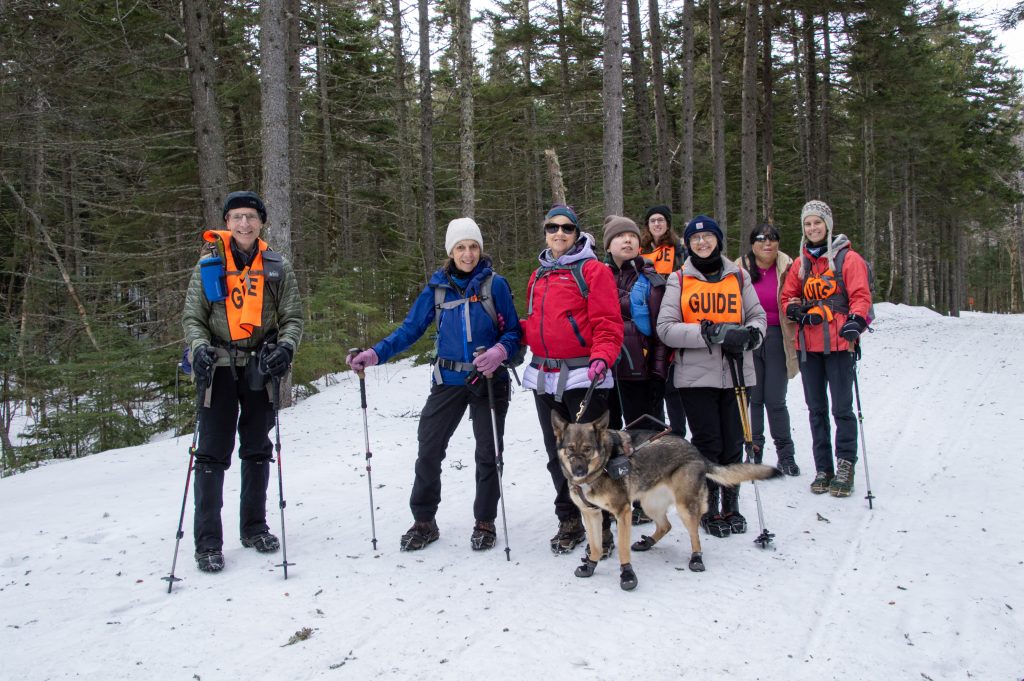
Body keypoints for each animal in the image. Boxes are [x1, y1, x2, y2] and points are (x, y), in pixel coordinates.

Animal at [557, 409, 778, 589]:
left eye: (587, 449)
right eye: (570, 449)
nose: (578, 471)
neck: (601, 466)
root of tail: (697, 452)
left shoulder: (623, 512)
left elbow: (622, 550)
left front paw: (627, 576)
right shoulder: (591, 513)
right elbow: (595, 546)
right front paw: (590, 566)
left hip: (685, 508)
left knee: (694, 537)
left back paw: (696, 559)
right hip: (649, 505)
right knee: (666, 525)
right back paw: (647, 543)